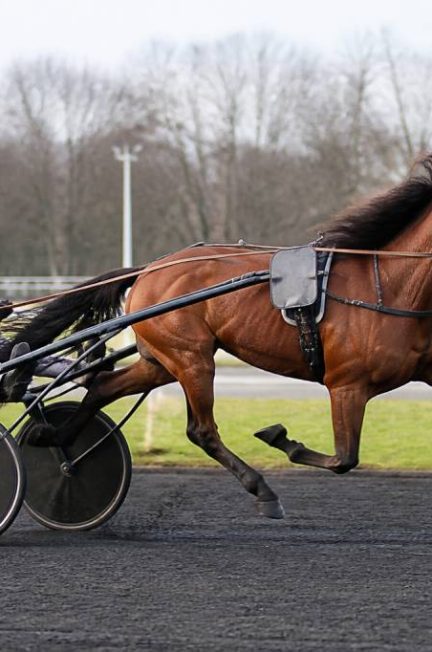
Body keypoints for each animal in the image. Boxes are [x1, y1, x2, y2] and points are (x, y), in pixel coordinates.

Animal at [6, 154, 432, 519]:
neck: (386, 286)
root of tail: (149, 269)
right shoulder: (347, 384)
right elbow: (344, 459)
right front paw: (280, 439)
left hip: (160, 361)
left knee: (101, 387)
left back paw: (54, 438)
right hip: (191, 358)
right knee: (201, 430)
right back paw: (262, 489)